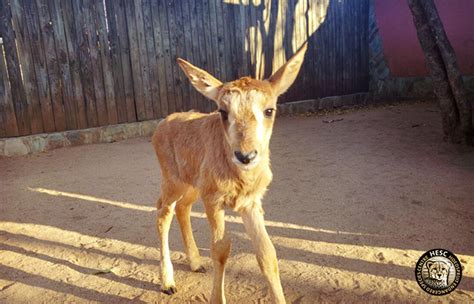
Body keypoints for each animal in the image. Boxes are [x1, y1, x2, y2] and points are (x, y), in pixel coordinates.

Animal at [151, 43, 308, 304]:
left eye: (269, 110)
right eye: (223, 111)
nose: (245, 156)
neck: (240, 180)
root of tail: (160, 127)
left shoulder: (250, 203)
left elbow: (267, 252)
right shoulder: (214, 200)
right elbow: (221, 249)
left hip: (193, 185)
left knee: (182, 208)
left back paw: (196, 263)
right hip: (173, 180)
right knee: (163, 211)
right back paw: (168, 283)